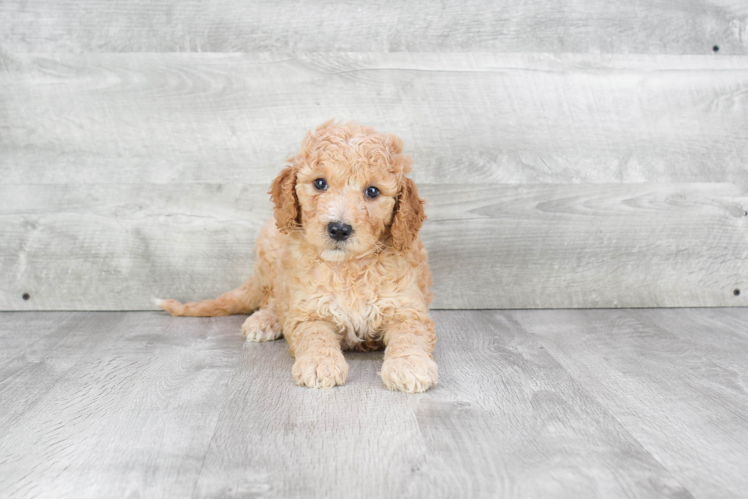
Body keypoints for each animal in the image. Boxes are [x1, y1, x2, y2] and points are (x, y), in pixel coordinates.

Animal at [159, 122, 438, 394]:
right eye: (320, 183)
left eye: (372, 191)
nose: (339, 229)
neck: (347, 268)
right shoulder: (308, 309)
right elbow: (314, 335)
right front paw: (319, 363)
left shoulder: (407, 309)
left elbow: (410, 336)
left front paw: (409, 365)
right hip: (270, 245)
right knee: (272, 298)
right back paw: (265, 320)